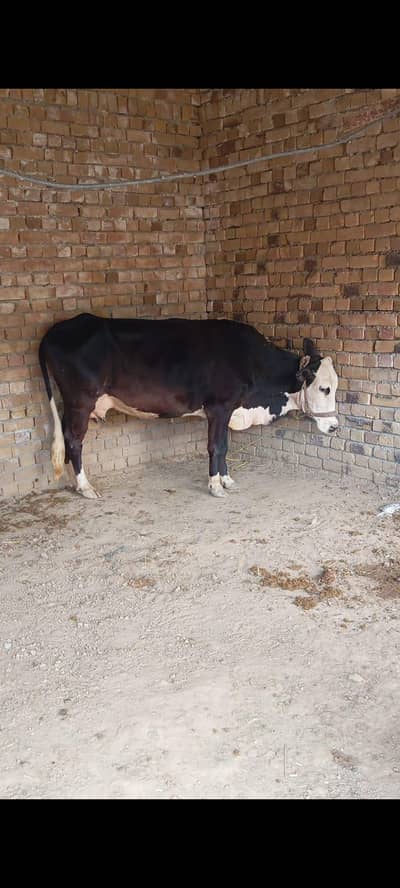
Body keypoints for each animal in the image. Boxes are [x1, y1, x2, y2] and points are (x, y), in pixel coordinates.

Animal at [38, 313, 339, 499]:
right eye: (324, 388)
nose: (335, 426)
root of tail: (60, 327)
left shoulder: (228, 409)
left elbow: (225, 446)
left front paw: (227, 480)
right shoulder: (219, 406)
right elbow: (216, 446)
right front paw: (215, 486)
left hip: (71, 403)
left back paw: (73, 483)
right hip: (81, 401)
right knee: (74, 440)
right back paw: (85, 487)